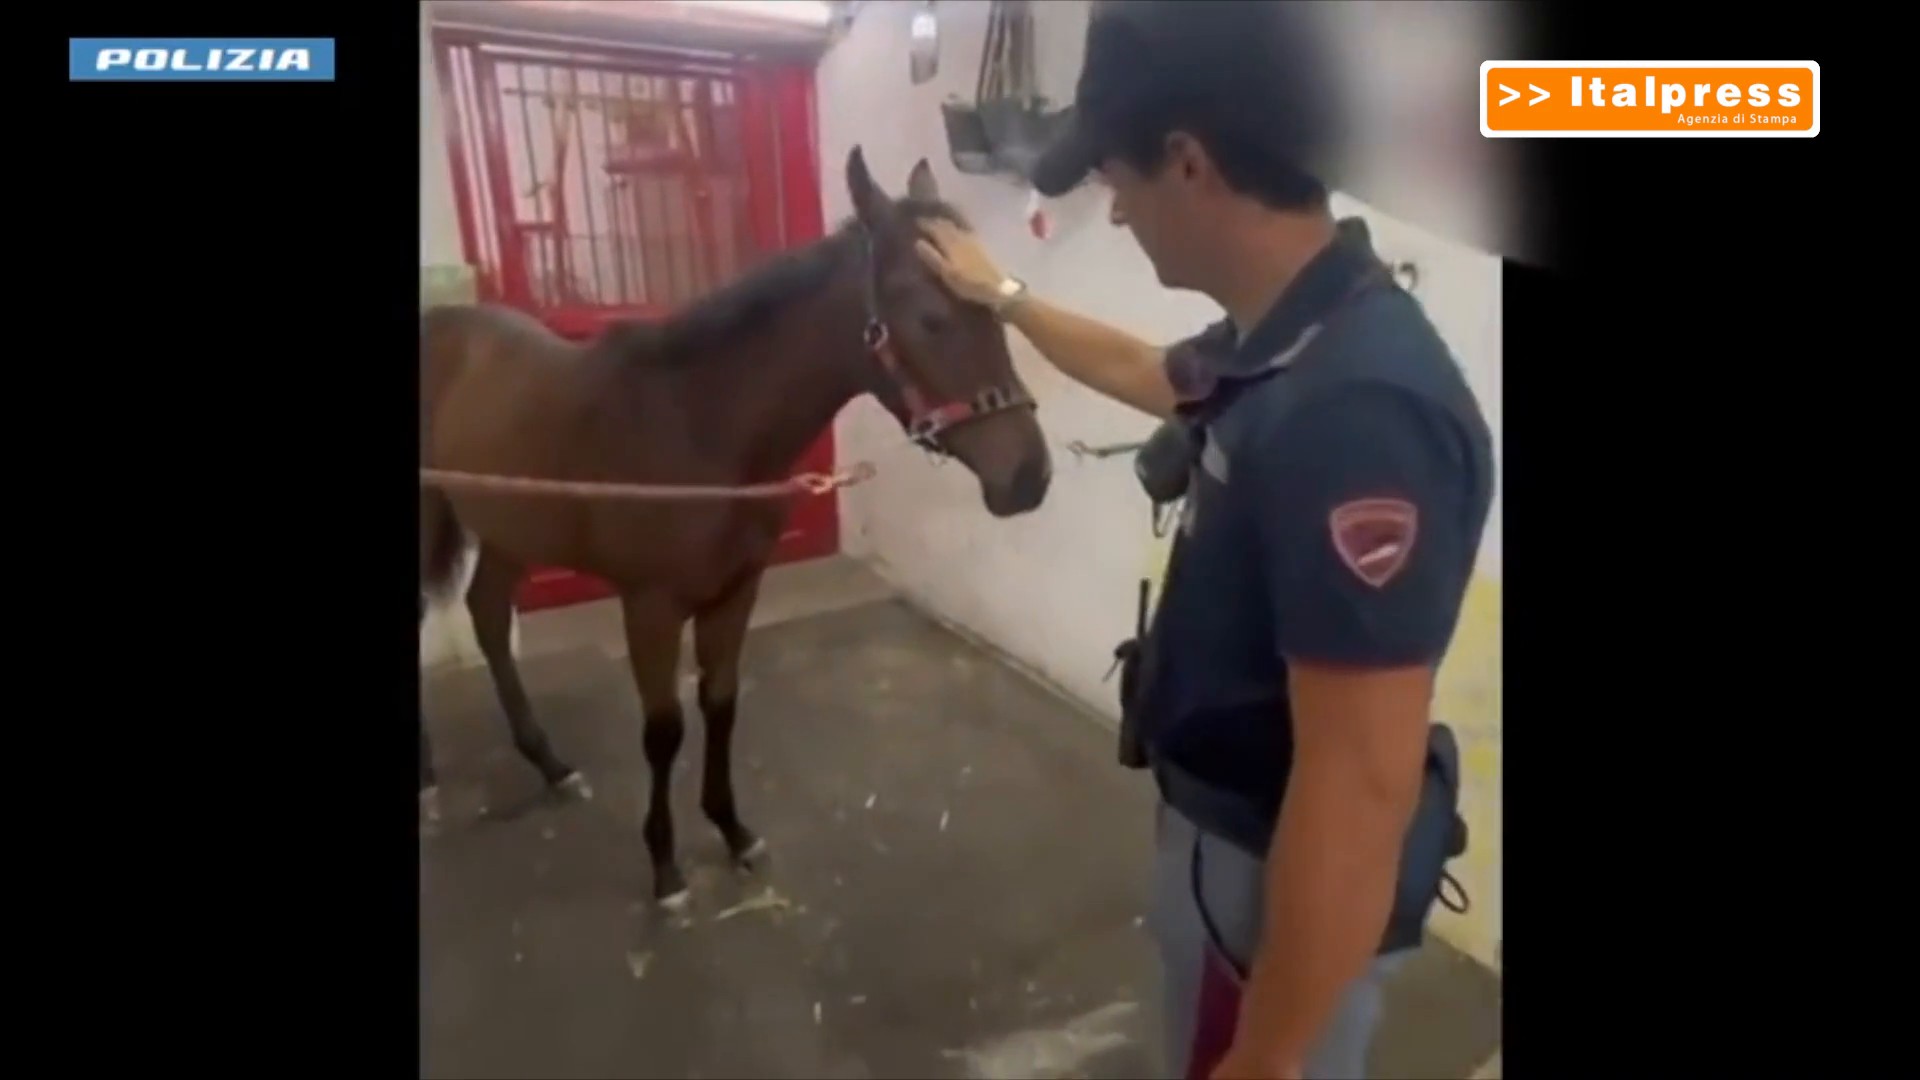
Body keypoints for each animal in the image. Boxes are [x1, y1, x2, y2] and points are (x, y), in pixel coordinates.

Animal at [419, 146, 1052, 908]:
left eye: (998, 308)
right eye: (931, 317)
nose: (1028, 476)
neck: (698, 425)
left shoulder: (735, 592)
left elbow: (720, 706)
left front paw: (732, 830)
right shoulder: (650, 607)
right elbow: (663, 731)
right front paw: (665, 867)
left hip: (512, 527)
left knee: (487, 614)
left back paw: (550, 763)